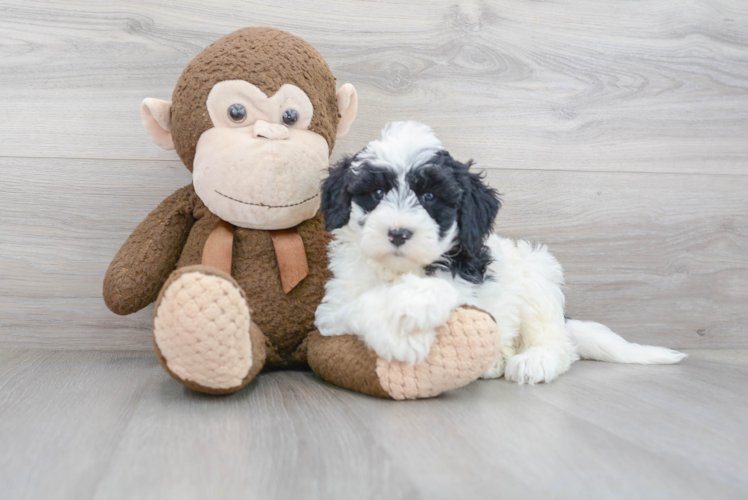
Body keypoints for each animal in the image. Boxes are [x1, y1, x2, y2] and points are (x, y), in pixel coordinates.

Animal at [312, 121, 688, 382]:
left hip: (537, 274)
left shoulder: (467, 282)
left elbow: (444, 291)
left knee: (558, 343)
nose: (398, 233)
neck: (402, 269)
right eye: (376, 193)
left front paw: (413, 312)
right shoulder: (335, 306)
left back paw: (533, 360)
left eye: (430, 196)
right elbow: (359, 306)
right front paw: (400, 336)